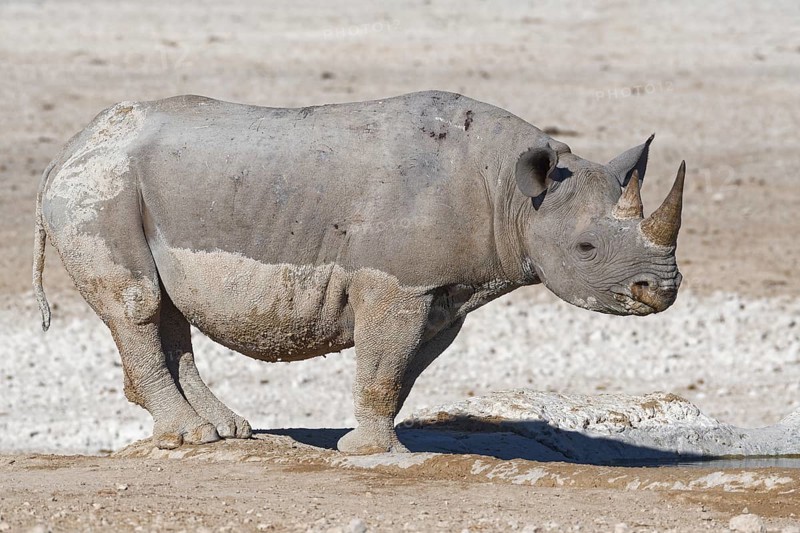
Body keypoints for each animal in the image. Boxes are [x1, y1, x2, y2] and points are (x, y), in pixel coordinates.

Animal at [33, 91, 685, 454]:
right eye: (585, 247)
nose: (660, 290)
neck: (514, 194)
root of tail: (69, 149)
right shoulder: (399, 282)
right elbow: (383, 364)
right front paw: (373, 454)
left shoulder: (441, 292)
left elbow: (399, 371)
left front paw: (373, 442)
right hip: (102, 188)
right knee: (141, 302)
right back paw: (189, 437)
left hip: (134, 185)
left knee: (168, 307)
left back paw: (224, 432)